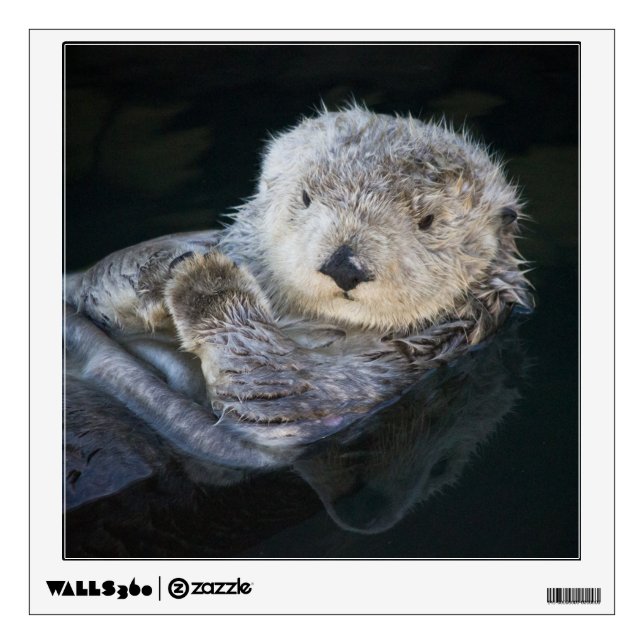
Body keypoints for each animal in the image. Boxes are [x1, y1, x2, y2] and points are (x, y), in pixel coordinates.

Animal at [65, 107, 532, 451]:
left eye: (428, 221)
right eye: (306, 197)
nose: (345, 265)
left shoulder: (376, 378)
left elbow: (278, 390)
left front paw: (207, 282)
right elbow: (94, 287)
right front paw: (168, 265)